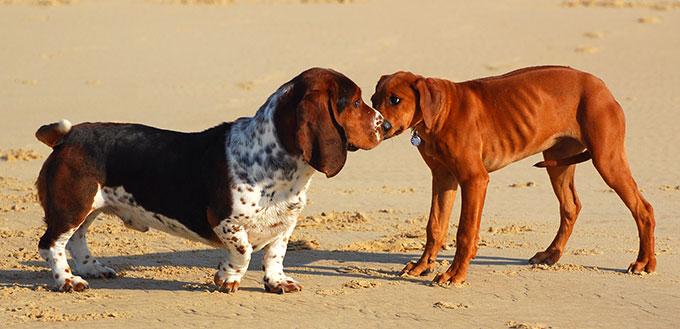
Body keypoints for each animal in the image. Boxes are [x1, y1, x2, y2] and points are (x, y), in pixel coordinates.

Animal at [372, 65, 652, 284]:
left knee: (643, 209)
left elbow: (465, 231)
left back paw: (644, 262)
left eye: (395, 100)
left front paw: (454, 274)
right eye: (373, 100)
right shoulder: (443, 179)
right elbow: (435, 227)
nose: (378, 126)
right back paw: (551, 253)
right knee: (571, 206)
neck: (442, 111)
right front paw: (422, 266)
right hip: (558, 161)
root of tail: (602, 86)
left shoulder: (474, 180)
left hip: (607, 160)